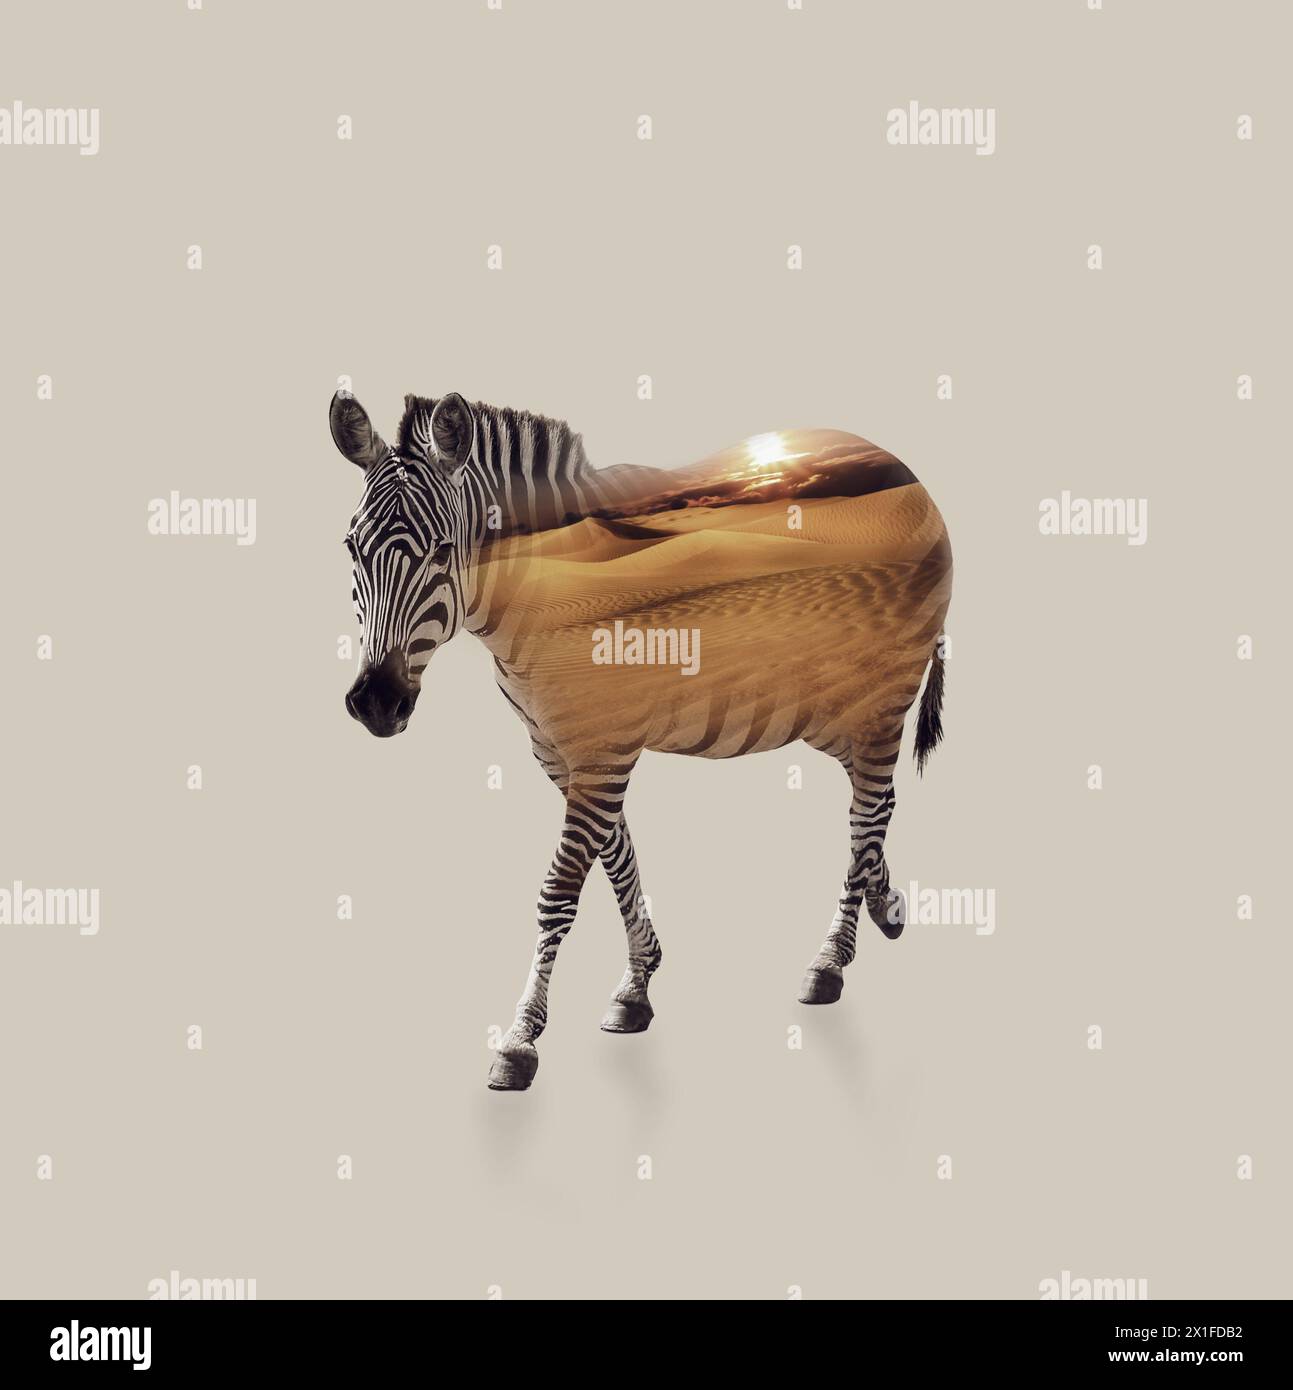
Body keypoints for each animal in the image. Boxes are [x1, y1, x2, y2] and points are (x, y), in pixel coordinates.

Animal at [330, 389, 953, 1090]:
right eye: (351, 548)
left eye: (441, 551)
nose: (375, 703)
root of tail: (910, 473)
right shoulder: (561, 752)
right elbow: (617, 859)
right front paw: (636, 988)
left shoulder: (601, 752)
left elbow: (559, 893)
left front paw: (519, 1041)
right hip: (837, 709)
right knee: (874, 809)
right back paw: (882, 906)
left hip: (881, 698)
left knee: (865, 813)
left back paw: (829, 963)